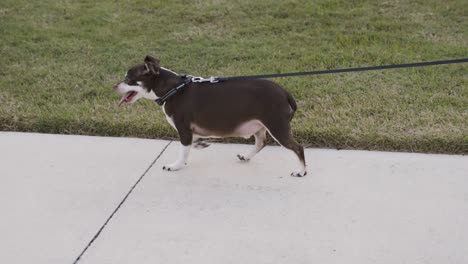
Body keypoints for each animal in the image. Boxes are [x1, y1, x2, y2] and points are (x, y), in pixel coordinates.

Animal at [113, 55, 308, 177]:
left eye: (128, 80)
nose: (114, 86)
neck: (173, 89)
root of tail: (285, 93)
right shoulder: (190, 132)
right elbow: (192, 144)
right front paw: (200, 144)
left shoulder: (184, 129)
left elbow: (183, 150)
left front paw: (176, 166)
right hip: (260, 126)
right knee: (261, 142)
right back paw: (246, 156)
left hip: (277, 126)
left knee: (298, 148)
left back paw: (301, 171)